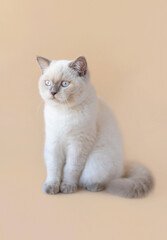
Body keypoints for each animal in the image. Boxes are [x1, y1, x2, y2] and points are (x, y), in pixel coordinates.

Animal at [36, 55, 154, 198]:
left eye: (64, 84)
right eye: (47, 83)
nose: (53, 92)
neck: (63, 112)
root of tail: (123, 167)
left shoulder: (79, 143)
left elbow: (70, 168)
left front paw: (67, 187)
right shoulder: (54, 142)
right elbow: (54, 168)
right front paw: (51, 187)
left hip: (97, 161)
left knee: (106, 179)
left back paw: (93, 186)